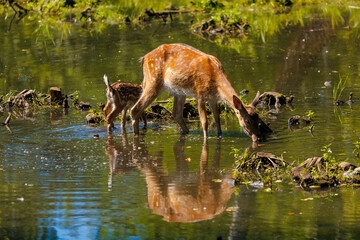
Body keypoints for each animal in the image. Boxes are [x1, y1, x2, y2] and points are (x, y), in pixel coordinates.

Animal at [131, 43, 272, 142]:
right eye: (247, 121)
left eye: (258, 118)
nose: (258, 138)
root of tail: (144, 58)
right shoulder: (199, 95)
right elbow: (204, 122)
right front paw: (206, 139)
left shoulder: (213, 99)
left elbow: (217, 119)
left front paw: (219, 135)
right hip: (153, 81)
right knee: (135, 109)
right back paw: (135, 135)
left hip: (179, 91)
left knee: (176, 113)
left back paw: (186, 132)